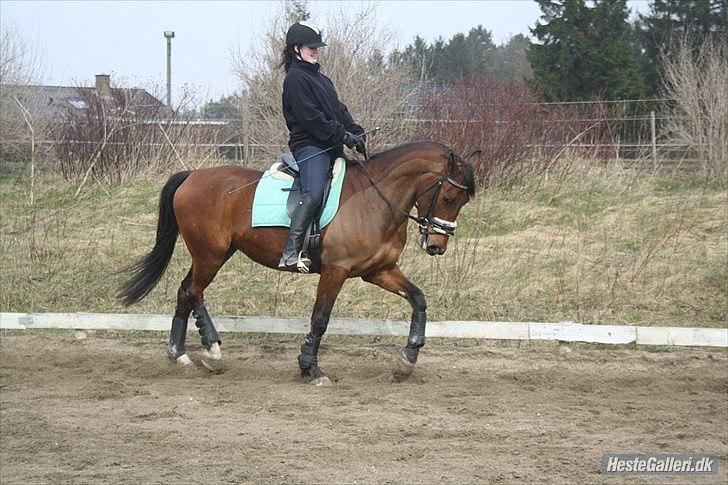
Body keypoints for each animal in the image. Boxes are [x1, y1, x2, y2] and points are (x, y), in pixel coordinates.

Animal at [119, 141, 484, 386]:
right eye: (449, 197)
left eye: (463, 202)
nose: (436, 246)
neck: (375, 199)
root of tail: (192, 175)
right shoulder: (336, 271)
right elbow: (320, 319)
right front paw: (311, 368)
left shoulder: (378, 271)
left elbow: (418, 299)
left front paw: (407, 360)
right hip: (210, 254)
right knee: (193, 291)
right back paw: (206, 351)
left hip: (214, 254)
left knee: (186, 291)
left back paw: (183, 354)